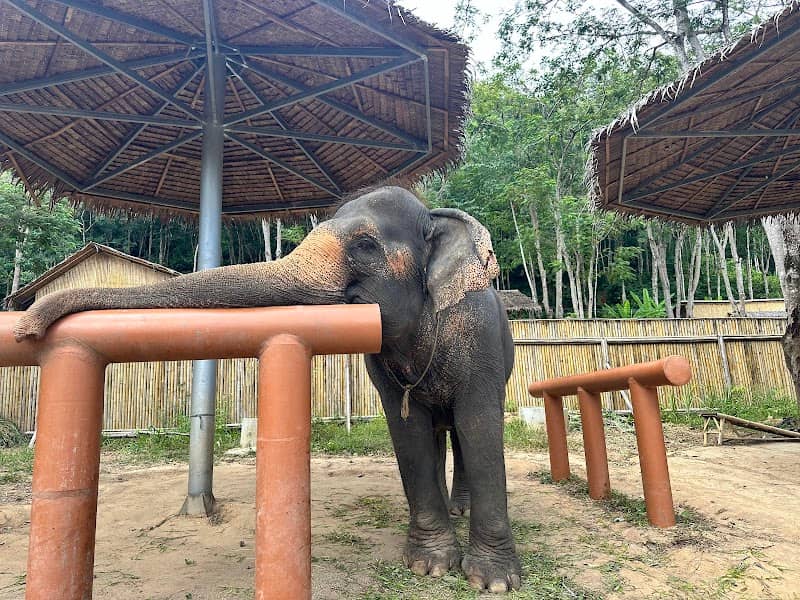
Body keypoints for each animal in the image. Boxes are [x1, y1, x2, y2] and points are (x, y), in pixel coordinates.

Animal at [14, 186, 521, 593]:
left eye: (365, 245)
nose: (26, 327)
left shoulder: (480, 340)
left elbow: (479, 423)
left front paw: (493, 582)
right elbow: (408, 430)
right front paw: (430, 567)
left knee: (461, 433)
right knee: (435, 434)